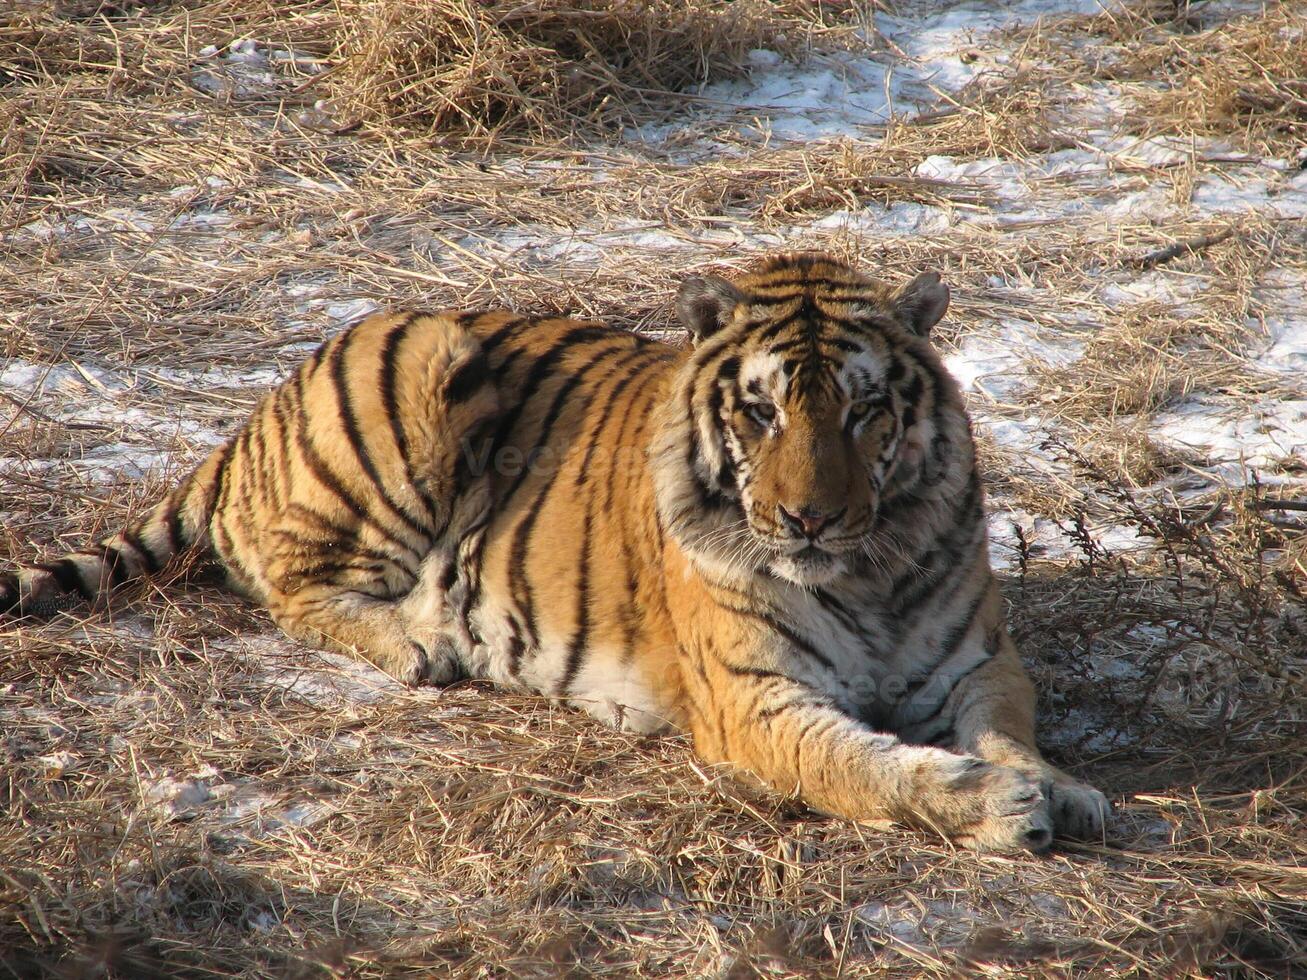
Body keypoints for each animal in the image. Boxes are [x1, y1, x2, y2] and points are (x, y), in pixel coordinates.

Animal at [0, 250, 1108, 851]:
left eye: (865, 408)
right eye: (760, 411)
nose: (808, 520)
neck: (866, 569)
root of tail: (260, 407)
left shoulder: (976, 662)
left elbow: (1008, 728)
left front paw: (1059, 786)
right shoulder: (753, 698)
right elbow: (867, 767)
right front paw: (995, 805)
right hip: (423, 369)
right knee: (292, 581)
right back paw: (419, 640)